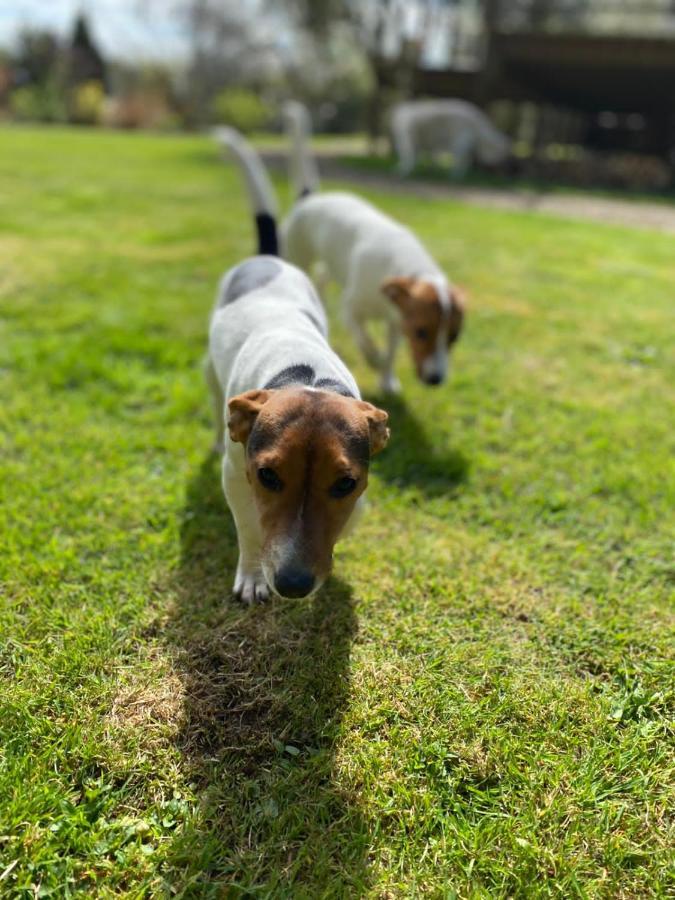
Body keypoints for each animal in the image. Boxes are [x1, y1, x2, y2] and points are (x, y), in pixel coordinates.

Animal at [207, 126, 390, 600]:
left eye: (344, 484)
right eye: (268, 476)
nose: (292, 584)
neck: (304, 375)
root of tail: (270, 258)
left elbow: (348, 520)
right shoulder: (236, 475)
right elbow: (251, 529)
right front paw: (253, 574)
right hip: (210, 373)